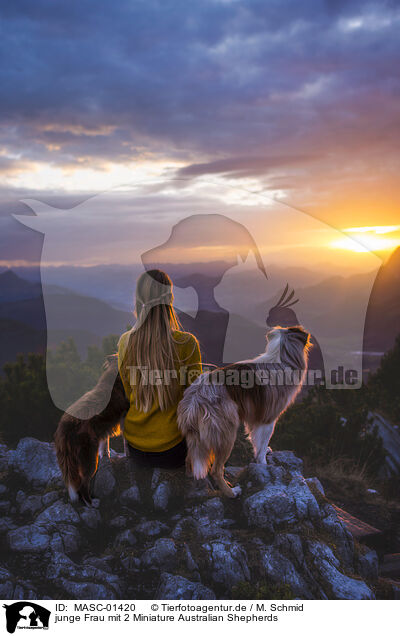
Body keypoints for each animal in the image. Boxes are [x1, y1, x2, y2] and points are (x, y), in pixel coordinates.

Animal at [54, 356, 129, 504]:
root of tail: (63, 430)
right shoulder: (123, 418)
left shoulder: (103, 429)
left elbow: (105, 445)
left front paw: (107, 457)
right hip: (89, 460)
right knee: (83, 485)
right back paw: (91, 503)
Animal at [178, 328, 312, 496]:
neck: (280, 356)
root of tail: (194, 401)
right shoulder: (268, 418)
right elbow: (262, 443)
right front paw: (263, 462)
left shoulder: (255, 417)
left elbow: (256, 440)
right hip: (226, 434)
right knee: (216, 470)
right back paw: (232, 492)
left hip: (195, 436)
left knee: (189, 460)